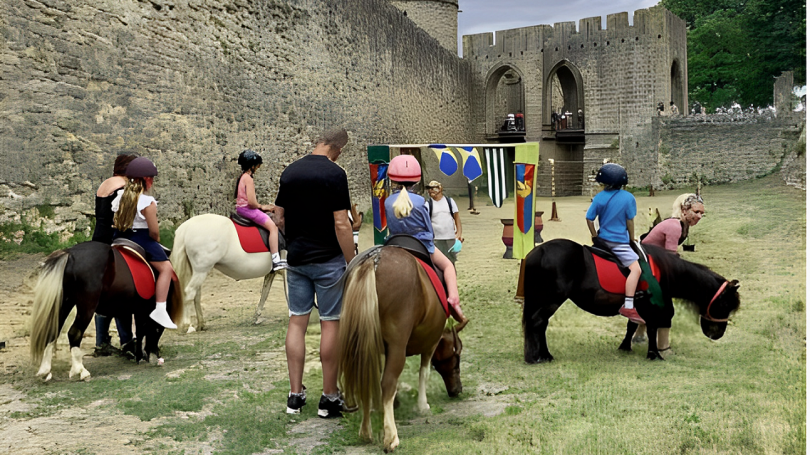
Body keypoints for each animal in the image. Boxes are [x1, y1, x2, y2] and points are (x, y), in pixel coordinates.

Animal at [30, 242, 181, 382]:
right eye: (159, 329)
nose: (156, 355)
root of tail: (70, 254)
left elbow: (136, 330)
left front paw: (137, 354)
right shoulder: (142, 309)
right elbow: (140, 330)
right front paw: (140, 355)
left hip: (65, 302)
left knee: (52, 330)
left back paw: (45, 370)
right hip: (86, 306)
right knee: (74, 333)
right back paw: (81, 371)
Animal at [334, 246, 460, 452]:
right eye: (456, 359)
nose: (457, 390)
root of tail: (374, 260)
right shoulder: (430, 343)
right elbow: (424, 372)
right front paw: (422, 405)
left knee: (366, 379)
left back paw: (366, 431)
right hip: (397, 345)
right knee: (387, 383)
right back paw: (391, 437)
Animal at [524, 239, 740, 364]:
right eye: (725, 305)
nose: (717, 335)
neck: (662, 269)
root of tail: (539, 251)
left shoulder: (638, 305)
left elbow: (632, 325)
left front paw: (625, 347)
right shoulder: (652, 305)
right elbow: (652, 327)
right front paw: (654, 354)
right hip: (552, 299)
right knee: (538, 322)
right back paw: (542, 356)